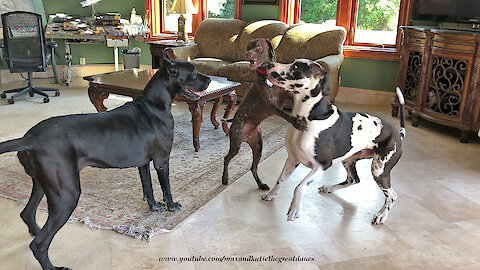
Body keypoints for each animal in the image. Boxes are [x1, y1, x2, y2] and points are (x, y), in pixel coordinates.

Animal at [222, 37, 308, 190]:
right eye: (247, 47)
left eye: (258, 48)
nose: (247, 55)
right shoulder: (271, 106)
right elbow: (287, 115)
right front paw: (298, 124)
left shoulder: (288, 95)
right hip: (236, 143)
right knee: (227, 158)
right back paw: (225, 178)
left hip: (258, 146)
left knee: (253, 168)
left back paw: (261, 184)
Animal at [262, 60, 404, 225]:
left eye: (297, 67)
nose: (269, 64)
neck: (309, 118)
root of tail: (399, 134)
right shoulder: (292, 159)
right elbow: (280, 180)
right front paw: (271, 194)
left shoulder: (322, 165)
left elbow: (300, 186)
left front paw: (295, 209)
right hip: (349, 160)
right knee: (353, 179)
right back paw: (329, 188)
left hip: (379, 170)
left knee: (392, 195)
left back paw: (382, 215)